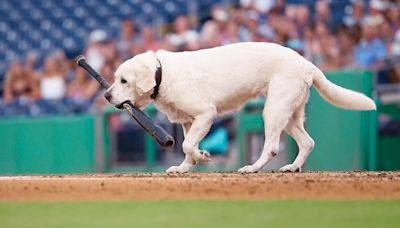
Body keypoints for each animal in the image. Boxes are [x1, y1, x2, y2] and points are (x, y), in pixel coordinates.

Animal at [104, 41, 376, 173]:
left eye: (124, 80)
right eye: (115, 78)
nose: (106, 95)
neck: (163, 72)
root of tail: (305, 63)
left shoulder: (206, 115)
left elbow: (187, 145)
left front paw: (203, 156)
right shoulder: (189, 122)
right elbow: (187, 148)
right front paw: (185, 168)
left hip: (273, 110)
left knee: (272, 148)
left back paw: (252, 168)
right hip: (289, 114)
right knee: (307, 142)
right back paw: (292, 167)